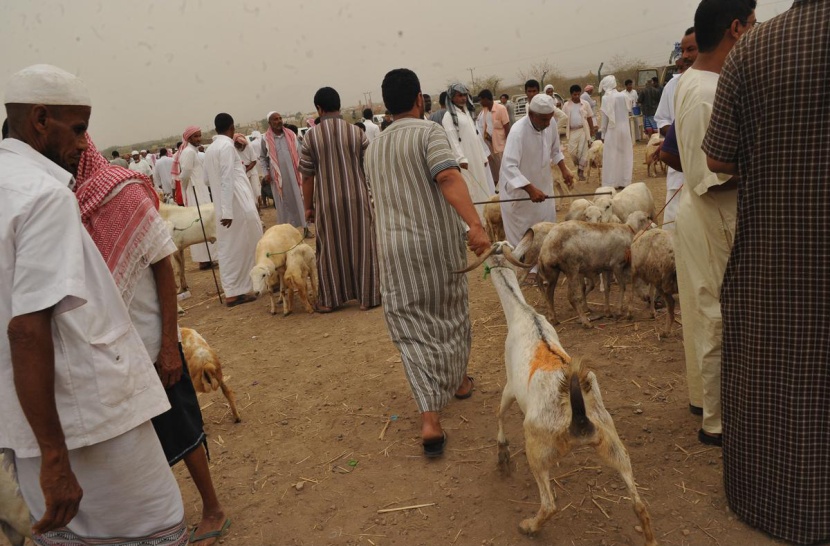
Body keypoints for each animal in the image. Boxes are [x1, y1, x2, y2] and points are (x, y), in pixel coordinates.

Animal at [456, 243, 656, 544]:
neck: (522, 313)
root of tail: (579, 420)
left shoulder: (510, 384)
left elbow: (500, 412)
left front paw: (503, 458)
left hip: (537, 446)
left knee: (549, 503)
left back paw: (529, 526)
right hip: (610, 438)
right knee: (639, 502)